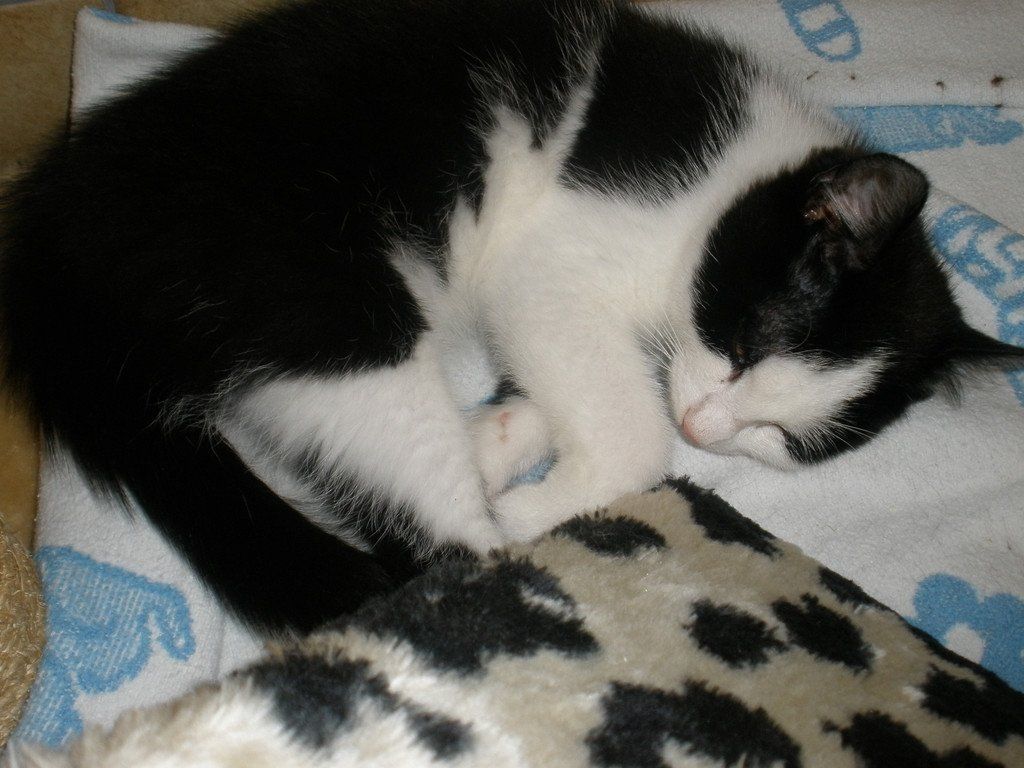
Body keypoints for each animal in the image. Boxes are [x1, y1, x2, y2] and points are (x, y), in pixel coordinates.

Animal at [2, 0, 1020, 635]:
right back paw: (514, 563)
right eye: (745, 348)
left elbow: (573, 386)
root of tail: (54, 234)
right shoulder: (556, 256)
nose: (708, 427)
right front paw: (539, 495)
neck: (728, 179)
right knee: (428, 539)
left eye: (783, 439)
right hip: (323, 303)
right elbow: (627, 421)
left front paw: (498, 438)